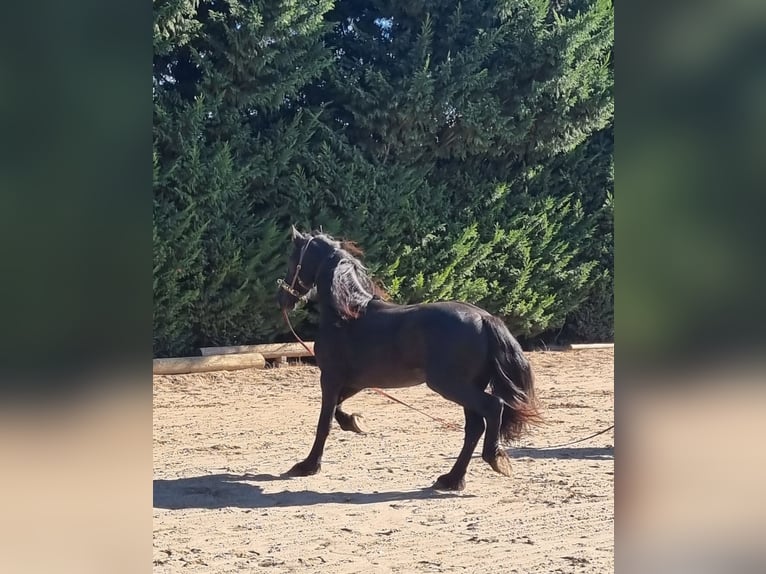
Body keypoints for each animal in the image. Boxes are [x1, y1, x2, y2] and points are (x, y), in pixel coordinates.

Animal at [276, 227, 540, 492]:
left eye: (292, 259)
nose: (283, 299)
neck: (346, 315)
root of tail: (484, 318)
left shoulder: (330, 378)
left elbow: (325, 422)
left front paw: (308, 466)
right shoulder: (355, 382)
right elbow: (338, 410)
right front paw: (355, 423)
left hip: (451, 385)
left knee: (493, 407)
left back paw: (494, 459)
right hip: (468, 386)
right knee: (475, 426)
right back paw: (452, 479)